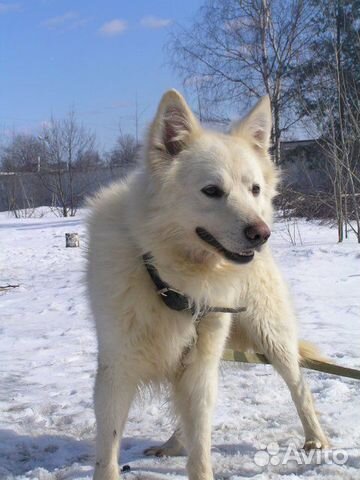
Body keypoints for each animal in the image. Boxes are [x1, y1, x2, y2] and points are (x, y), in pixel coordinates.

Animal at [87, 90, 330, 480]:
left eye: (254, 189)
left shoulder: (200, 367)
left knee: (300, 387)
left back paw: (316, 439)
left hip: (271, 336)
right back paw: (173, 444)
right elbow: (108, 452)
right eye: (212, 191)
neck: (173, 282)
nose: (262, 234)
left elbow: (201, 448)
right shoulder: (116, 372)